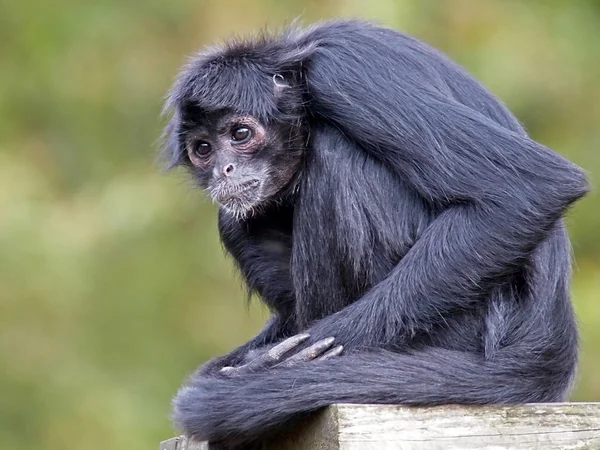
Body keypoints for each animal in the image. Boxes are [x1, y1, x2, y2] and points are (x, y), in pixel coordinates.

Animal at [162, 20, 588, 450]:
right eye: (203, 149)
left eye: (240, 133)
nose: (224, 169)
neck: (298, 67)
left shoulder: (345, 73)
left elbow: (531, 187)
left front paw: (279, 365)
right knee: (235, 217)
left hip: (463, 327)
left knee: (335, 152)